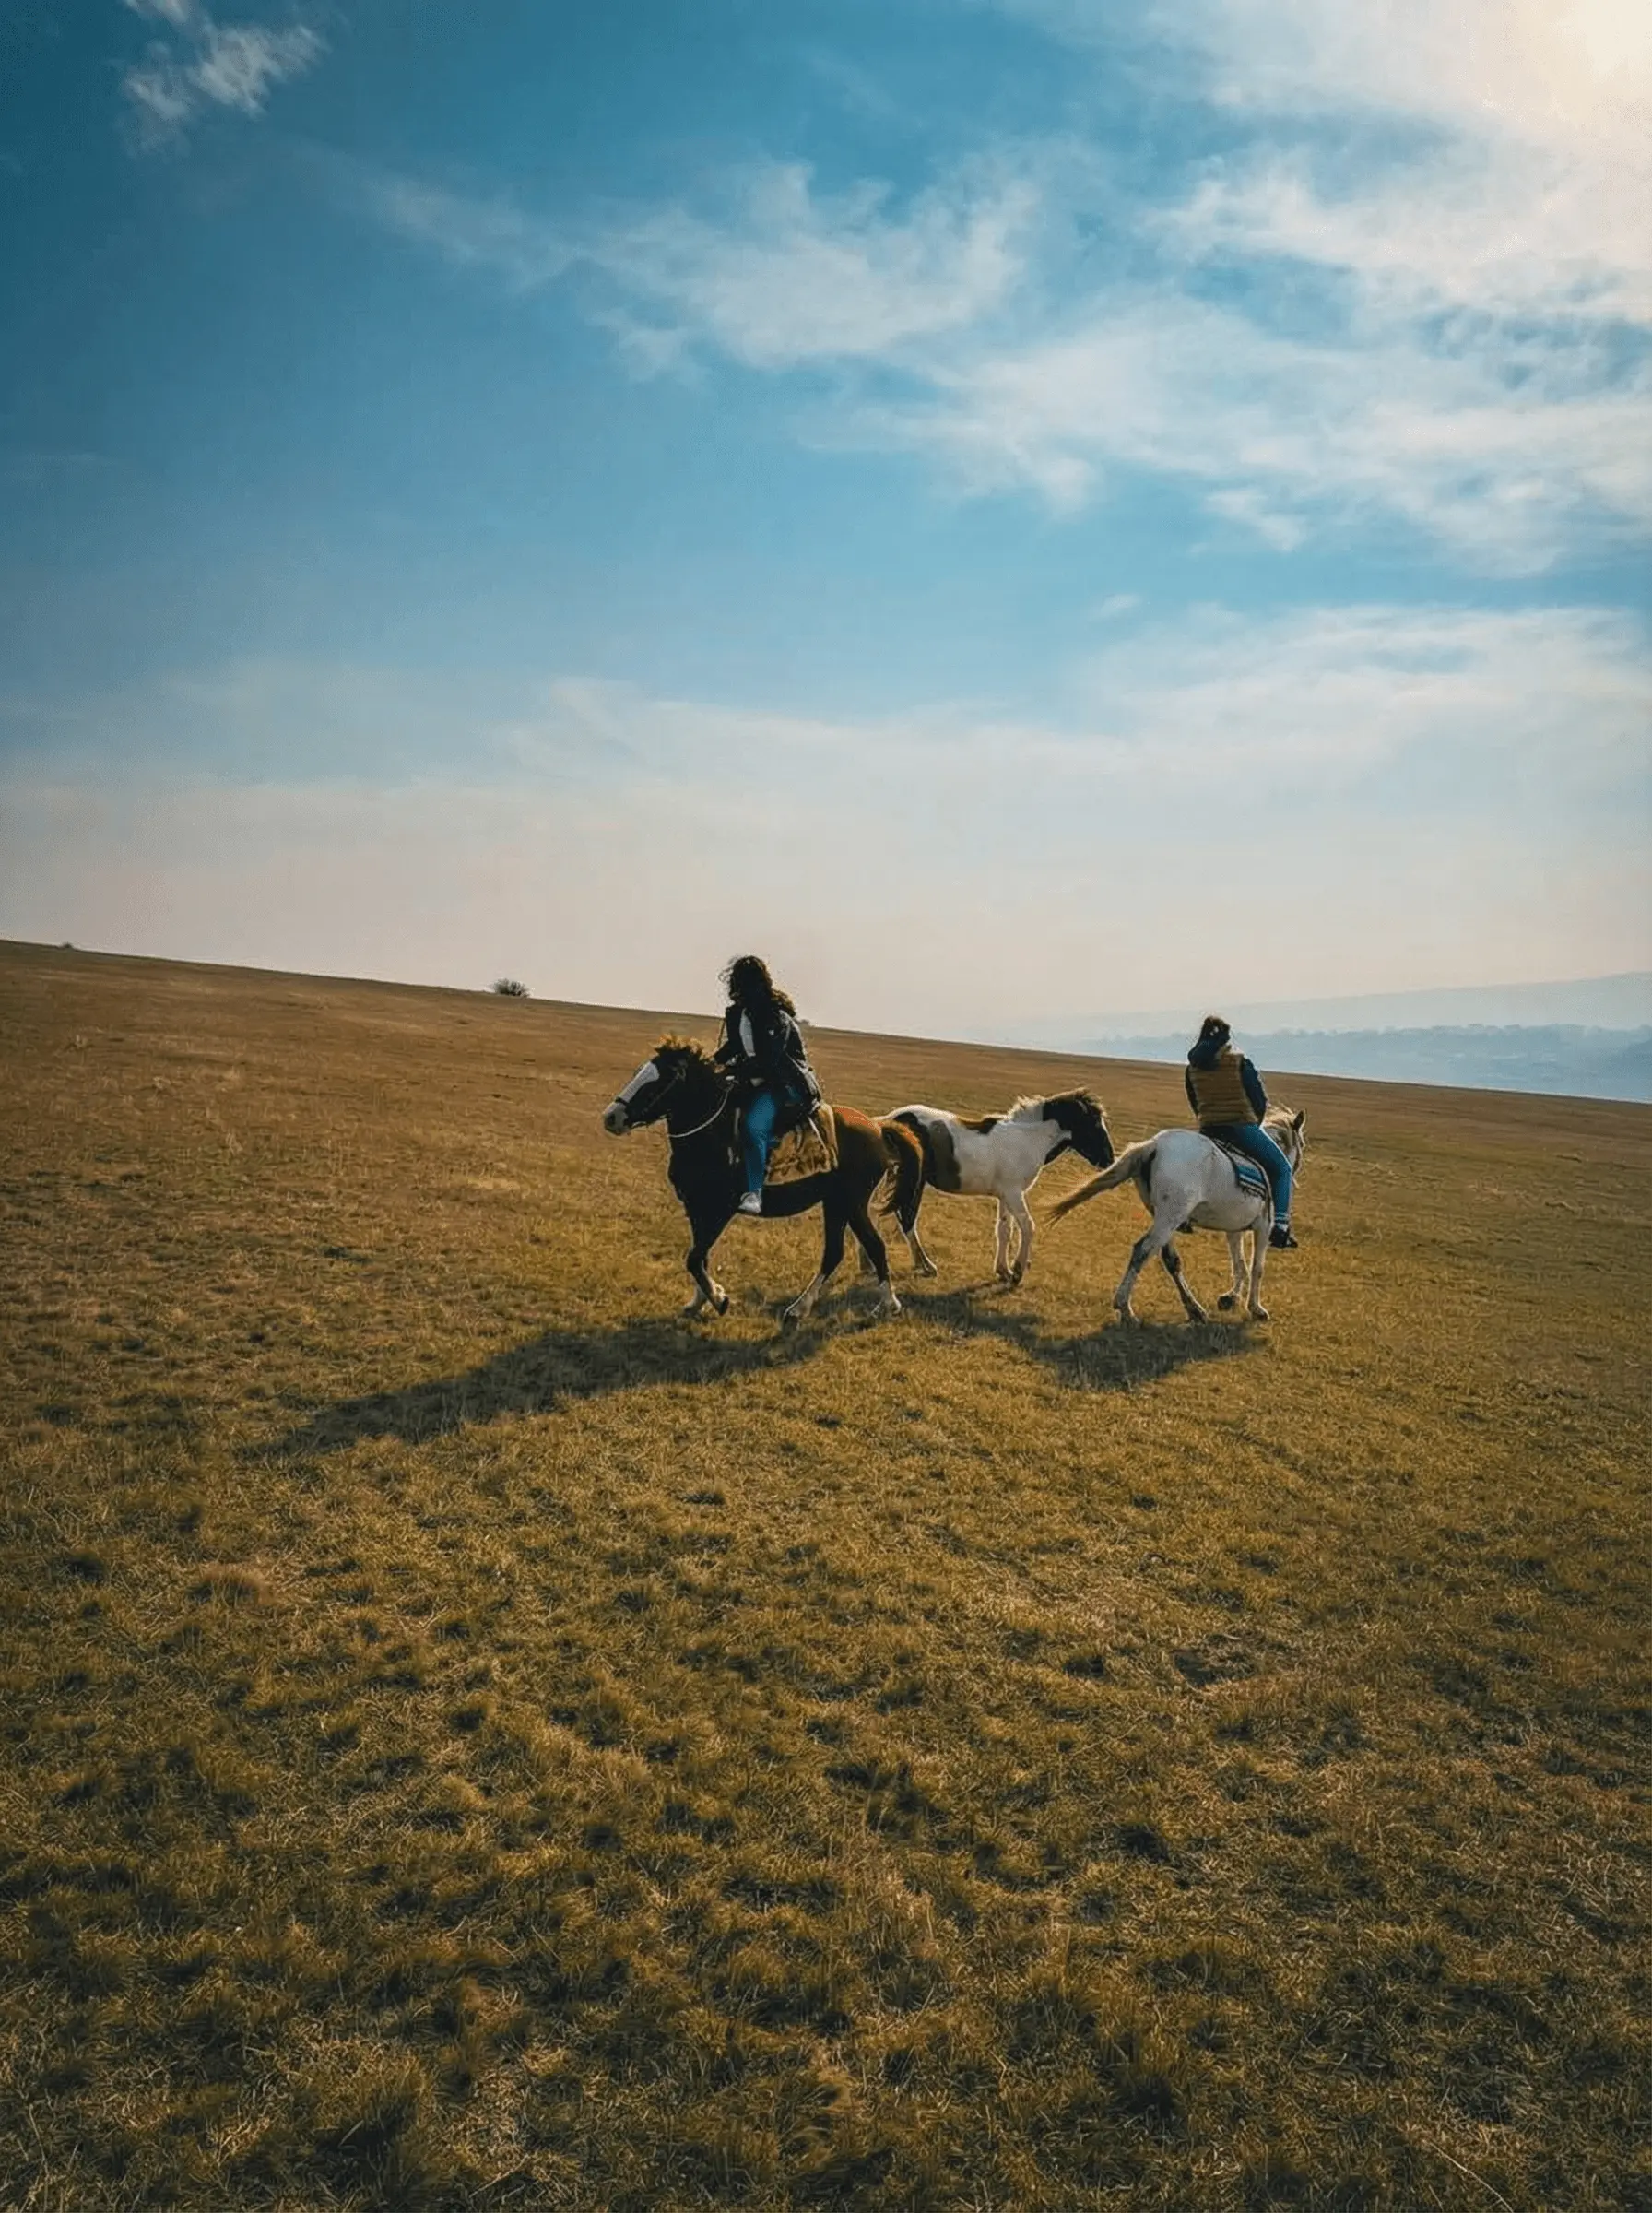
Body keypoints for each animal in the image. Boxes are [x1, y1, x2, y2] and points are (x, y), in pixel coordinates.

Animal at [601, 1038, 926, 1328]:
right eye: (639, 1073)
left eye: (658, 1082)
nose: (611, 1117)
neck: (711, 1134)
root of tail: (878, 1128)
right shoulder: (697, 1208)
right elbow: (701, 1257)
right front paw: (700, 1300)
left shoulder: (720, 1210)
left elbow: (693, 1258)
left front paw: (719, 1300)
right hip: (835, 1204)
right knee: (834, 1252)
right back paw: (799, 1309)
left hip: (851, 1203)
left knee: (874, 1246)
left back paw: (887, 1305)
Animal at [881, 1092, 1115, 1285]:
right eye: (1094, 1124)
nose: (1109, 1160)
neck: (1029, 1139)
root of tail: (892, 1120)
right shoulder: (1014, 1194)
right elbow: (1027, 1226)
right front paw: (1018, 1272)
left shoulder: (1005, 1196)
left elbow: (1004, 1230)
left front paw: (1004, 1271)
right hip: (914, 1183)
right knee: (908, 1220)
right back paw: (927, 1266)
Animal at [1046, 1108, 1307, 1323]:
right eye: (1302, 1144)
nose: (1295, 1169)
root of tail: (1154, 1145)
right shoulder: (1264, 1227)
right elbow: (1256, 1267)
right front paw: (1256, 1309)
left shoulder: (1234, 1229)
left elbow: (1239, 1264)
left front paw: (1230, 1298)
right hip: (1170, 1218)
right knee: (1142, 1250)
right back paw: (1126, 1308)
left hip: (1165, 1218)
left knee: (1170, 1259)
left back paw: (1195, 1309)